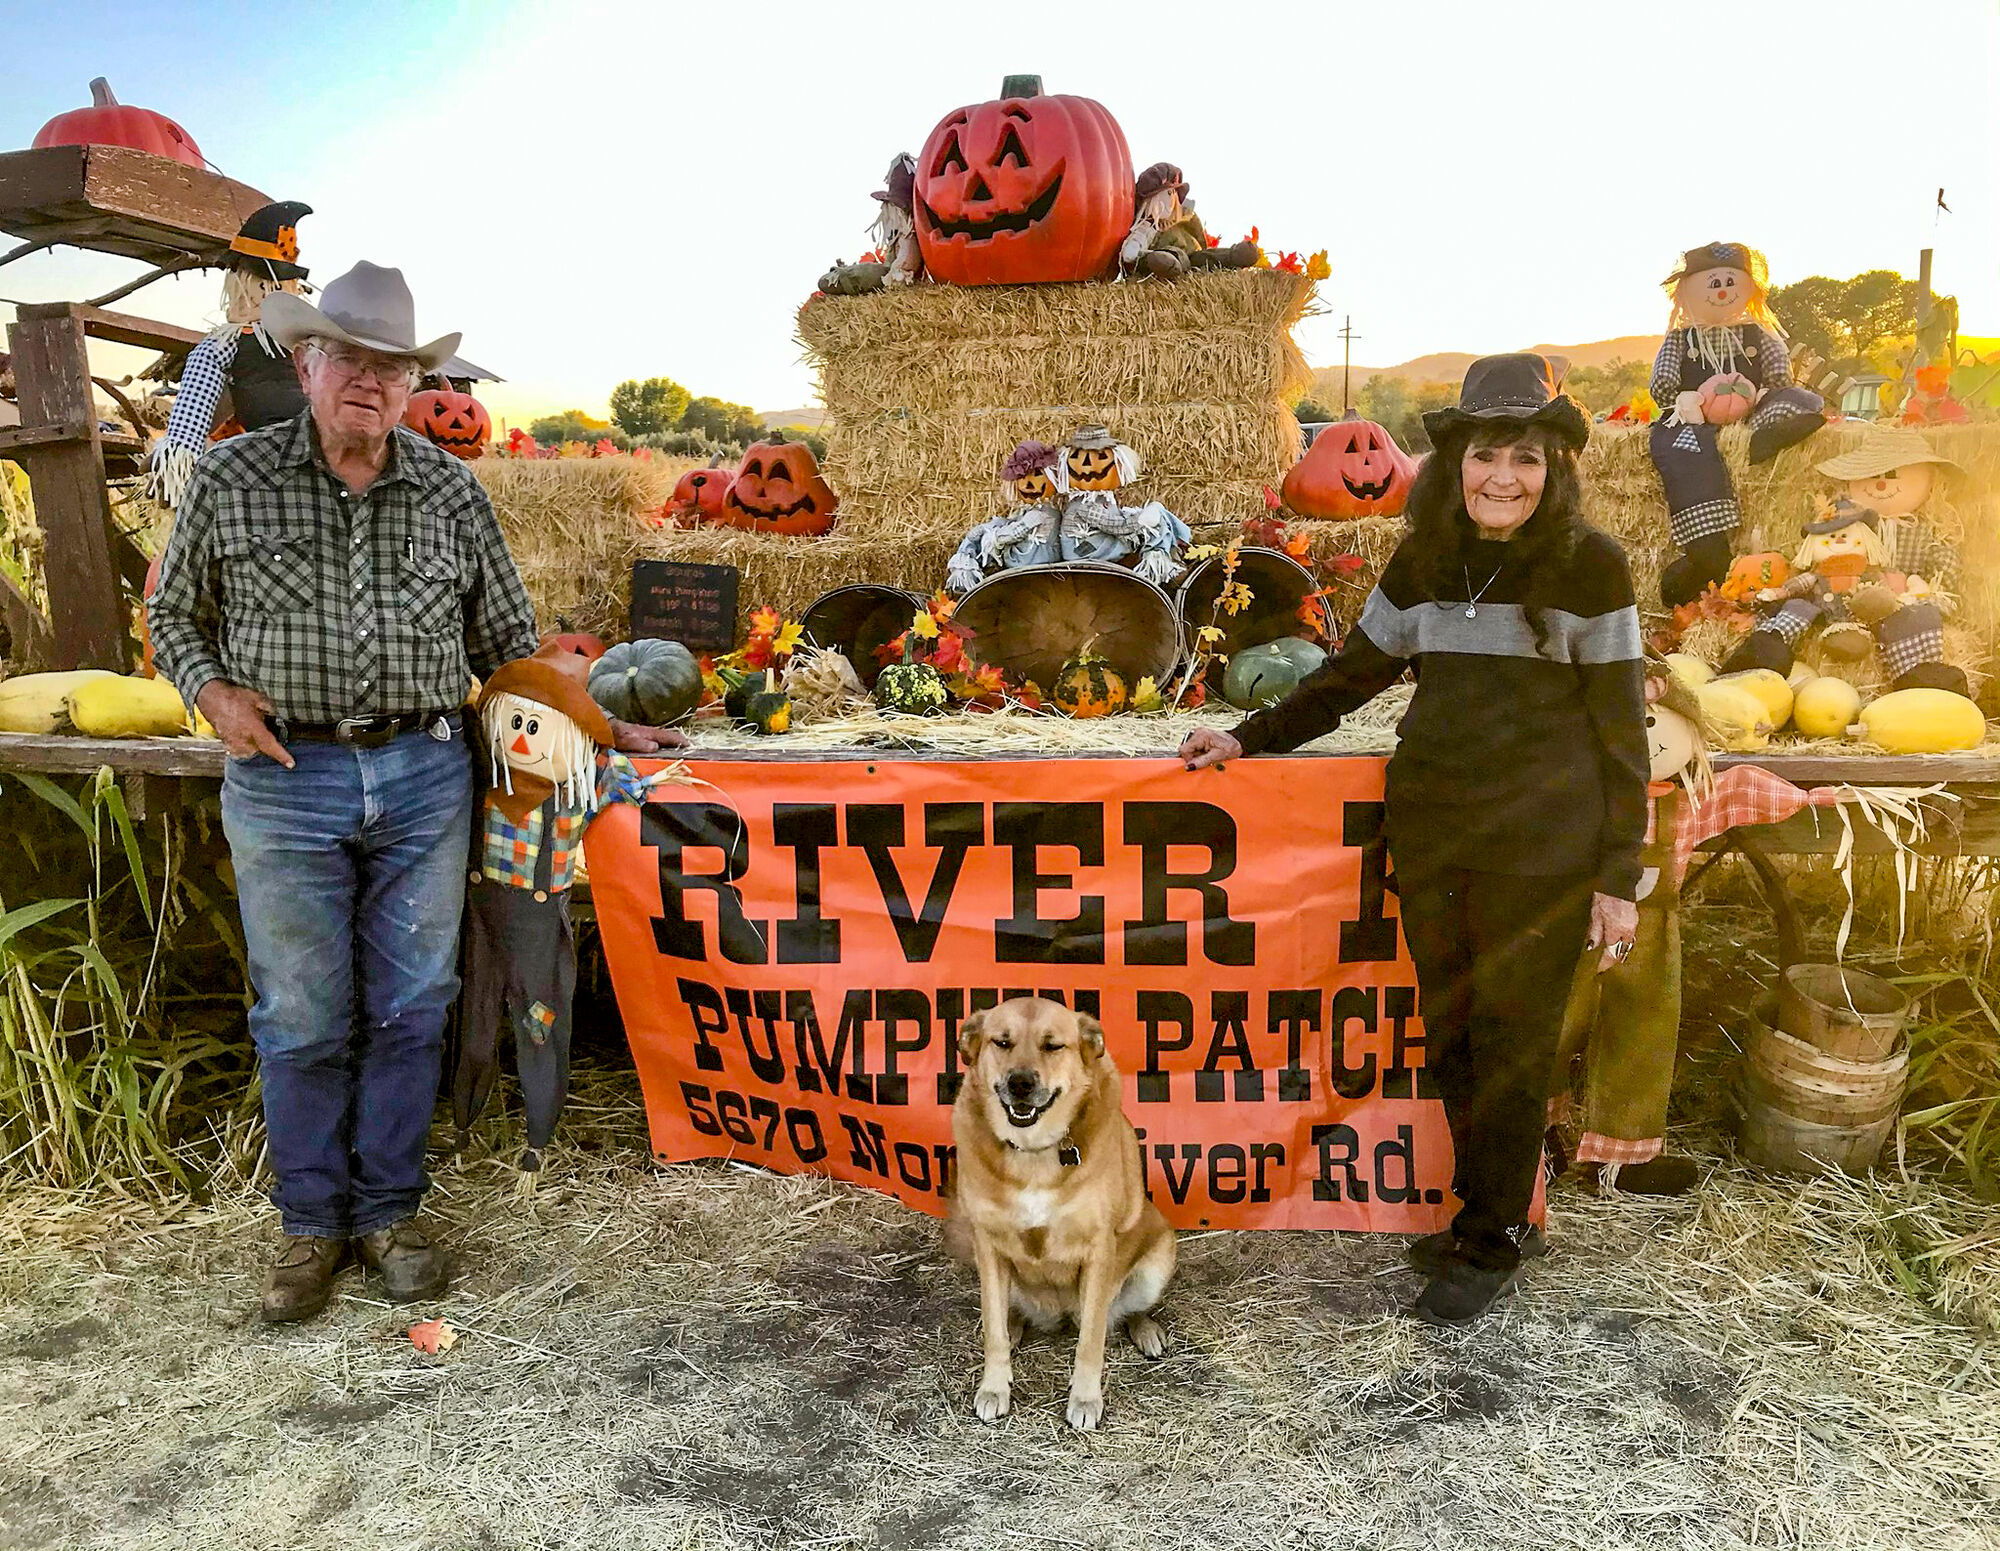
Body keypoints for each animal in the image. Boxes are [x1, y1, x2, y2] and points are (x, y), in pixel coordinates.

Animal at [945, 998, 1176, 1431]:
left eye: (1053, 1046)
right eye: (1002, 1042)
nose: (1020, 1082)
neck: (1033, 1151)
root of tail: (1061, 1315)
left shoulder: (1099, 1249)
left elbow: (1091, 1341)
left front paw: (1085, 1398)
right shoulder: (988, 1245)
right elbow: (993, 1332)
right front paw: (994, 1387)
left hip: (1158, 1258)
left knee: (1124, 1313)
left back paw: (1146, 1330)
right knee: (1008, 1313)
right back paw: (1016, 1327)